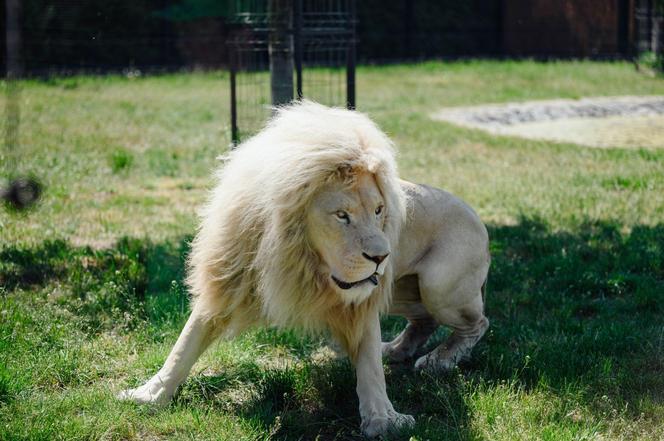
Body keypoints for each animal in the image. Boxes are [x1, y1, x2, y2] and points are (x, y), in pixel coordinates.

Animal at [118, 100, 488, 436]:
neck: (301, 259)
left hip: (436, 286)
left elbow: (368, 362)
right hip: (400, 290)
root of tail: (478, 218)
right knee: (424, 320)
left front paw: (384, 420)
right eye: (342, 215)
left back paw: (439, 361)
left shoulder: (361, 299)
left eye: (379, 210)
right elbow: (184, 345)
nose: (382, 257)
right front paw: (148, 395)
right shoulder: (228, 281)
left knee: (477, 323)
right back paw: (397, 350)